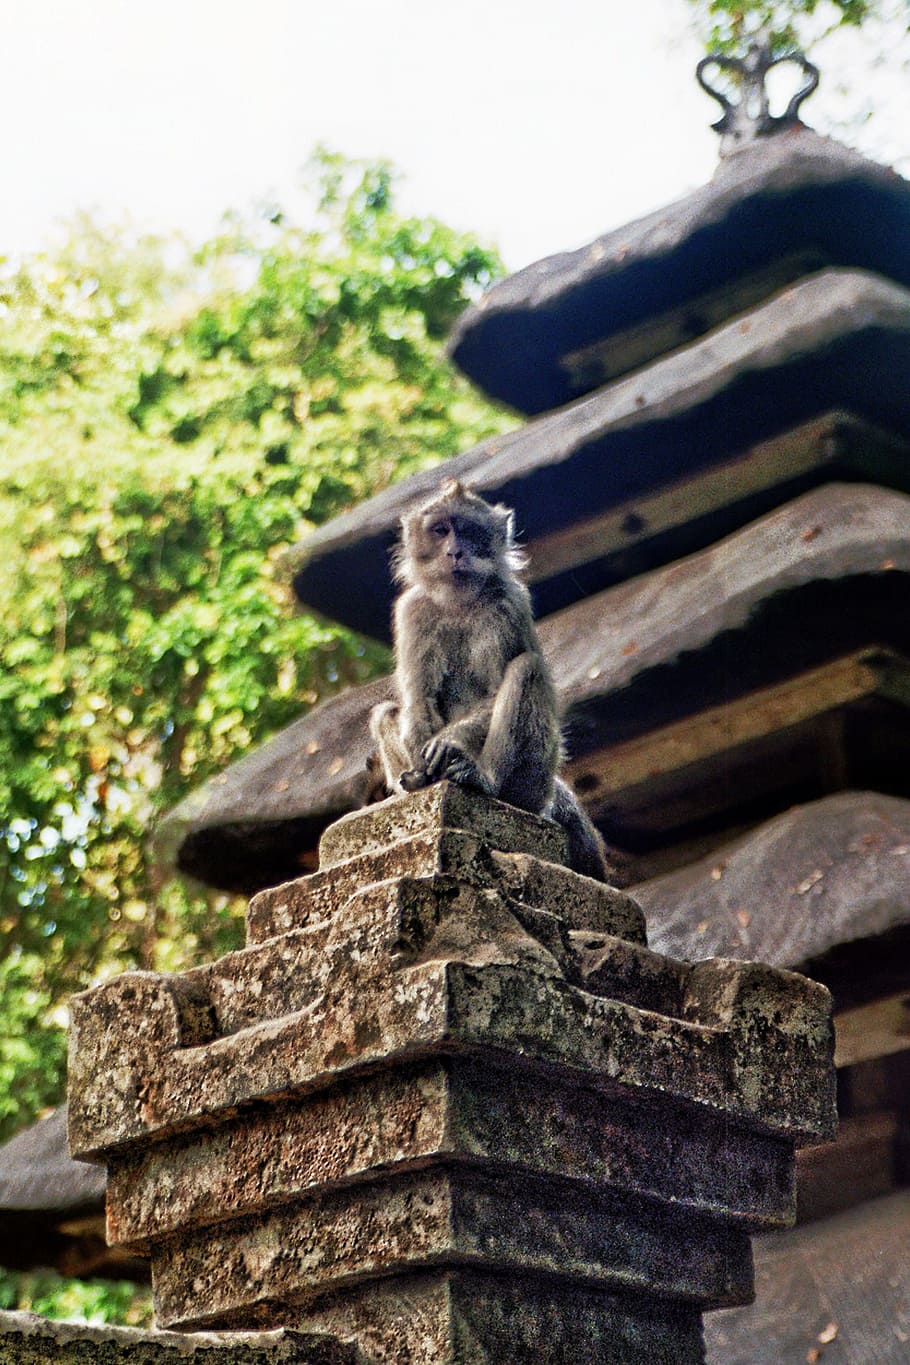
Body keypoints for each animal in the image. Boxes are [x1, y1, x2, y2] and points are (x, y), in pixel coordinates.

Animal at [369, 479, 609, 881]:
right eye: (441, 530)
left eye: (467, 530)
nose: (455, 552)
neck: (459, 602)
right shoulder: (412, 611)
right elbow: (418, 700)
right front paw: (422, 755)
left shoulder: (510, 603)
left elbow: (498, 687)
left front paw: (449, 741)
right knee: (386, 712)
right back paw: (418, 780)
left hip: (535, 784)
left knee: (527, 669)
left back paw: (486, 781)